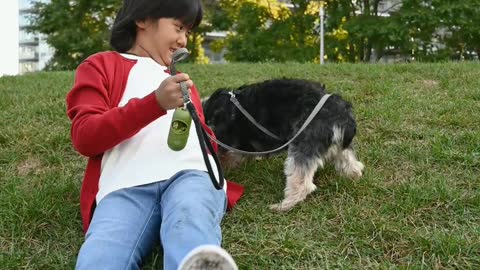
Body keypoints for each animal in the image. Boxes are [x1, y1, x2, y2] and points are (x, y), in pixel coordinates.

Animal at [202, 78, 364, 211]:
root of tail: (342, 115)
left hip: (303, 144)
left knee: (303, 184)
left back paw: (283, 206)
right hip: (340, 148)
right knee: (353, 164)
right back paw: (353, 176)